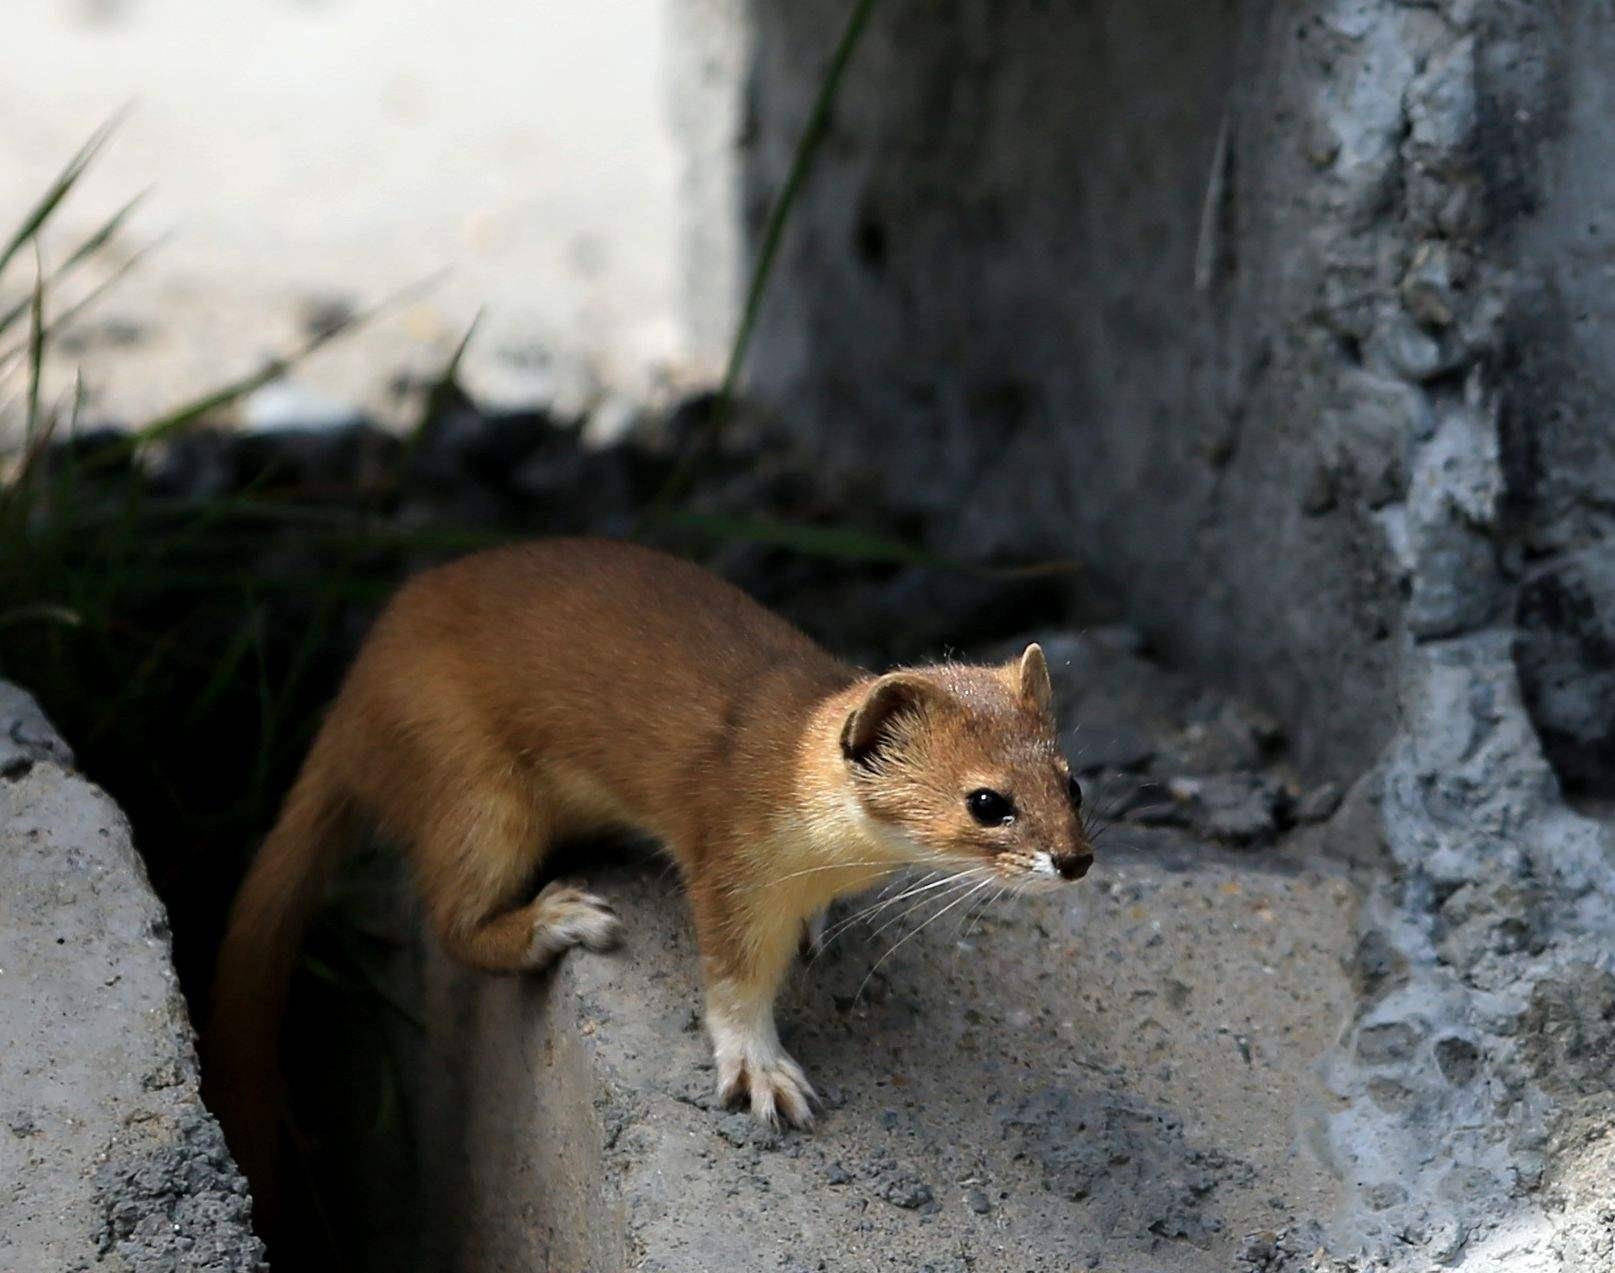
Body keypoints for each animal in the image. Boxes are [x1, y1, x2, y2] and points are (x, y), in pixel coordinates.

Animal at [205, 533, 1098, 1214]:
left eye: (1072, 781)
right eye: (986, 801)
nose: (1076, 857)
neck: (829, 856)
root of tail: (355, 689)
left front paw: (817, 928)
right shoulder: (729, 852)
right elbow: (733, 974)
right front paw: (761, 1070)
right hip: (474, 783)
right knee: (454, 917)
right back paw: (556, 917)